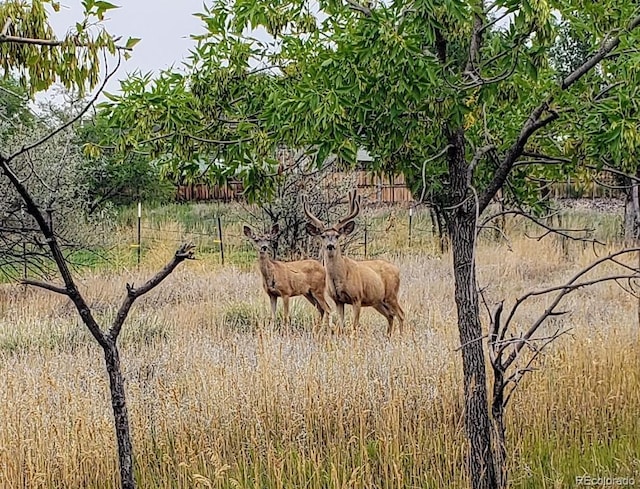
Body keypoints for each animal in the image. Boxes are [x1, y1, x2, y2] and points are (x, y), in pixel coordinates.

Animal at [302, 191, 402, 336]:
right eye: (323, 236)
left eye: (337, 236)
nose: (330, 246)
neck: (341, 275)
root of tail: (397, 270)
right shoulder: (338, 300)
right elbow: (341, 326)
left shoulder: (357, 297)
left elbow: (354, 326)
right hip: (378, 301)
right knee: (390, 315)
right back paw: (388, 336)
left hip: (391, 295)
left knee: (401, 314)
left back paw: (401, 335)